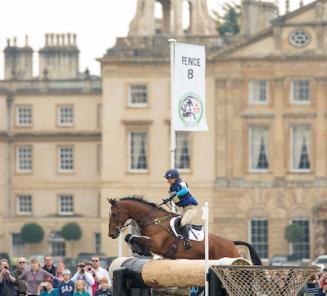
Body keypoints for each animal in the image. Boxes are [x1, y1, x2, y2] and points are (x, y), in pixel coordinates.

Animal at [107, 197, 262, 264]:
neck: (151, 219)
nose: (111, 234)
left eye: (114, 214)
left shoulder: (156, 244)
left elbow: (131, 236)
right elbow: (130, 237)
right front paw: (139, 249)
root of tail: (231, 242)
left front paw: (140, 250)